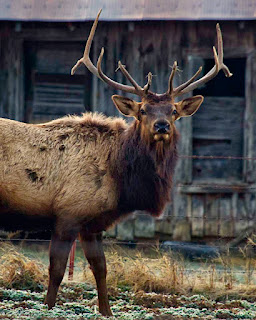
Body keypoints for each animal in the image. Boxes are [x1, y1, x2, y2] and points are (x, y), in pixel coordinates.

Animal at [0, 8, 232, 316]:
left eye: (173, 111)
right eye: (143, 110)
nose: (161, 126)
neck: (120, 177)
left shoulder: (93, 223)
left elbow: (101, 269)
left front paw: (106, 311)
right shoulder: (68, 214)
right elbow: (57, 270)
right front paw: (48, 308)